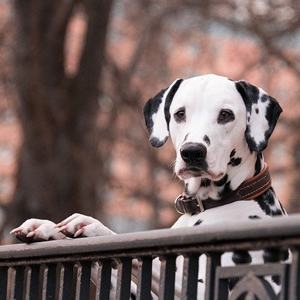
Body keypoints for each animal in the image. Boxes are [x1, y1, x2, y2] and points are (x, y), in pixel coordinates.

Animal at [10, 74, 284, 298]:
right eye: (180, 113)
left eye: (226, 115)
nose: (192, 152)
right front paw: (47, 229)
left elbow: (149, 260)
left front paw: (94, 227)